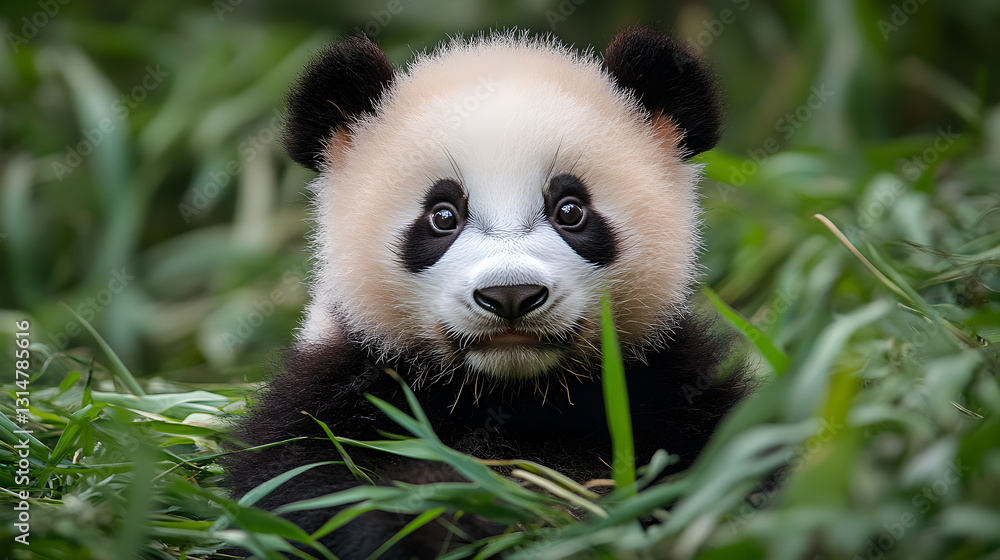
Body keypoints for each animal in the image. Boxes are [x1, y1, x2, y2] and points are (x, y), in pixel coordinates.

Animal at [223, 26, 751, 559]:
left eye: (570, 210)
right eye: (443, 215)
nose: (510, 295)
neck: (509, 391)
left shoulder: (669, 380)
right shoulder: (343, 379)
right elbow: (298, 485)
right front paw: (450, 511)